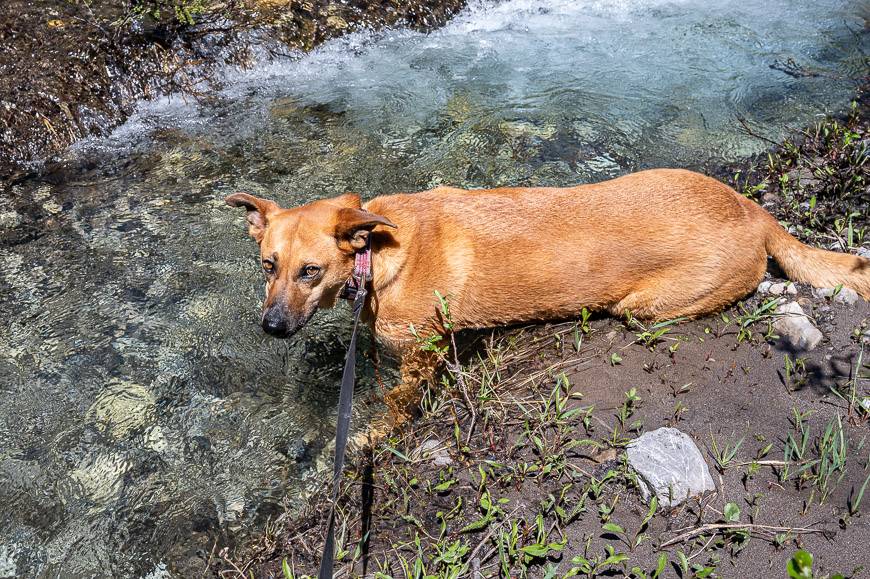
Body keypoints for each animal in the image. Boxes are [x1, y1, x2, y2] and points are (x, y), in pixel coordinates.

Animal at [228, 168, 870, 426]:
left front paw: (375, 435)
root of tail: (754, 211)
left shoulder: (421, 357)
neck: (378, 251)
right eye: (268, 266)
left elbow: (393, 408)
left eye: (310, 271)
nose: (272, 328)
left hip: (643, 305)